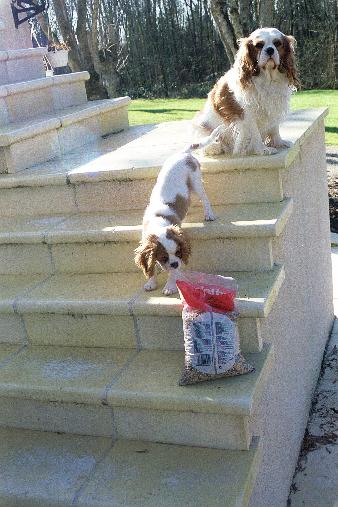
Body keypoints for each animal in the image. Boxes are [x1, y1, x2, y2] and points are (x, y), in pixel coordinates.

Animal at [133, 127, 223, 296]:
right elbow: (150, 265)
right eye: (163, 257)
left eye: (178, 252)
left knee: (204, 198)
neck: (158, 221)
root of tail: (184, 153)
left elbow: (174, 273)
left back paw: (209, 214)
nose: (174, 264)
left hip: (195, 182)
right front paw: (151, 282)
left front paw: (170, 285)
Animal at [193, 27, 298, 157]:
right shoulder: (248, 113)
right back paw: (217, 147)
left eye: (277, 43)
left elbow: (274, 128)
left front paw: (279, 143)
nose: (270, 50)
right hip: (202, 127)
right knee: (208, 146)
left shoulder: (273, 106)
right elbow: (255, 133)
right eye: (259, 45)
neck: (268, 78)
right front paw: (262, 149)